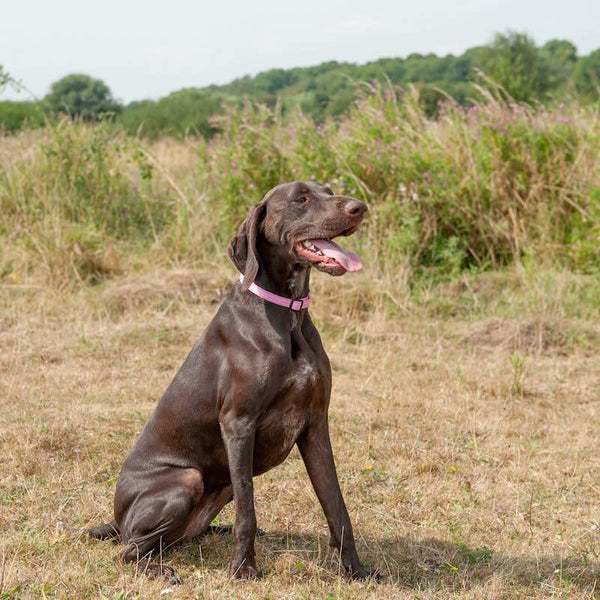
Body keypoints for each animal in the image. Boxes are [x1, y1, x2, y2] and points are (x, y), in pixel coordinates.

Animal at [89, 182, 370, 580]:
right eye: (301, 198)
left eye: (328, 190)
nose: (359, 207)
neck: (288, 314)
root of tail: (115, 518)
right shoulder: (239, 424)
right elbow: (248, 515)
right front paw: (244, 569)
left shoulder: (315, 425)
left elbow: (337, 507)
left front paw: (357, 571)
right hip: (187, 480)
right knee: (128, 551)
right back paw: (160, 570)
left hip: (222, 486)